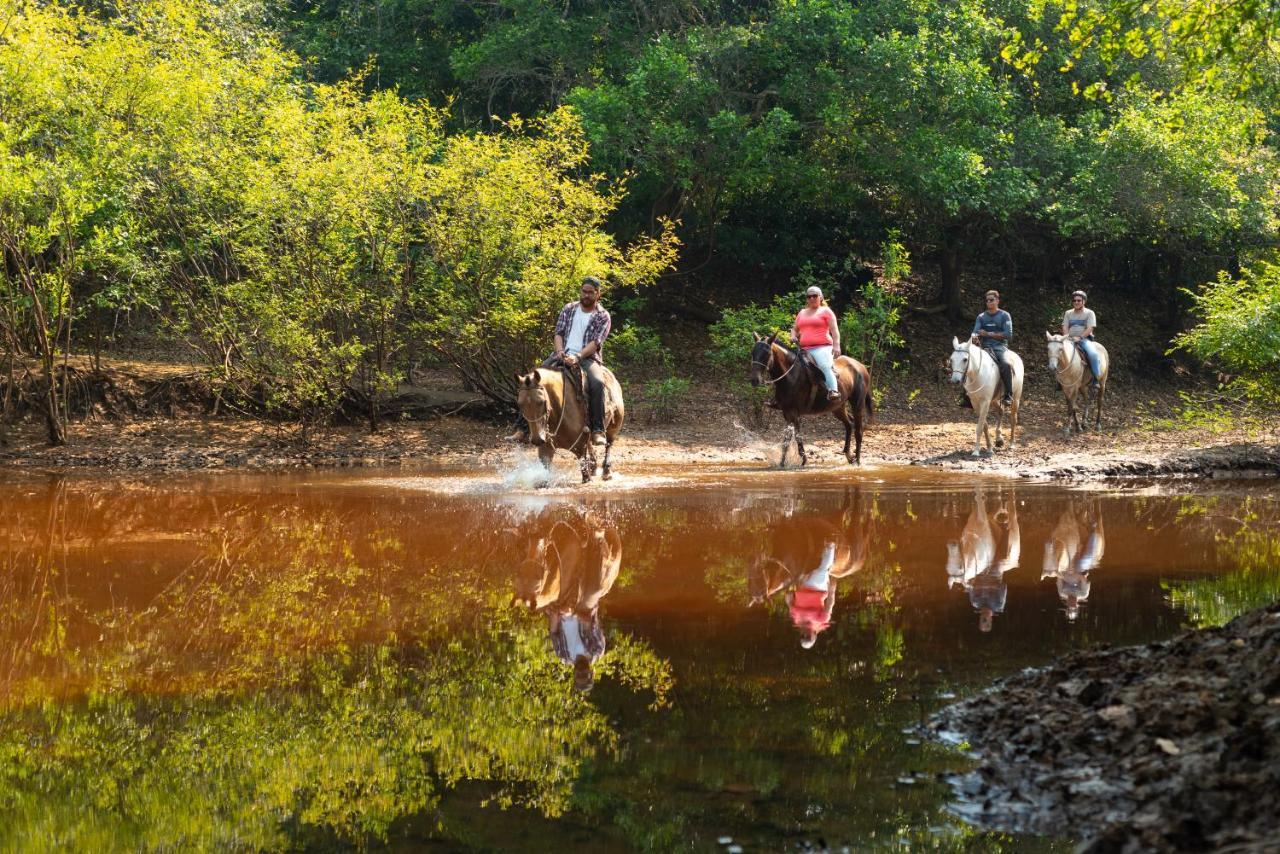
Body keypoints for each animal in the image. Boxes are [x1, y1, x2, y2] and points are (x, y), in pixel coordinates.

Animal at [747, 332, 875, 468]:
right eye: (753, 353)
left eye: (767, 353)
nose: (754, 380)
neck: (790, 375)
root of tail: (861, 367)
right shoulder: (786, 412)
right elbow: (787, 438)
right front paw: (782, 463)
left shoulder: (794, 412)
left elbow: (797, 436)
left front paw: (803, 460)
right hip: (837, 407)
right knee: (849, 424)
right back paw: (849, 456)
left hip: (857, 405)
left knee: (858, 431)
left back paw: (858, 460)